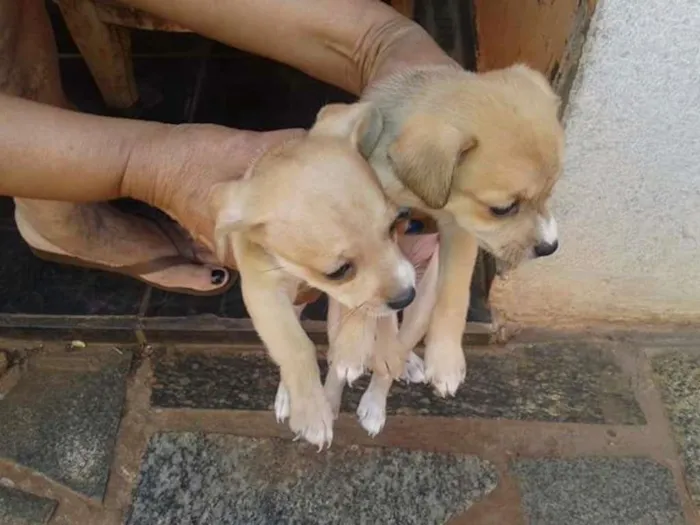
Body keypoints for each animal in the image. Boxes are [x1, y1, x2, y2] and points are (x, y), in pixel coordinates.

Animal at [215, 101, 416, 446]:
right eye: (338, 271)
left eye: (395, 225)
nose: (408, 297)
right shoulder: (262, 290)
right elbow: (294, 344)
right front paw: (310, 411)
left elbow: (361, 308)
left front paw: (352, 349)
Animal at [326, 61, 564, 398]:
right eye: (502, 209)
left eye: (551, 191)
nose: (549, 247)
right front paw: (350, 347)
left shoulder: (459, 230)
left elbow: (454, 293)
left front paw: (446, 361)